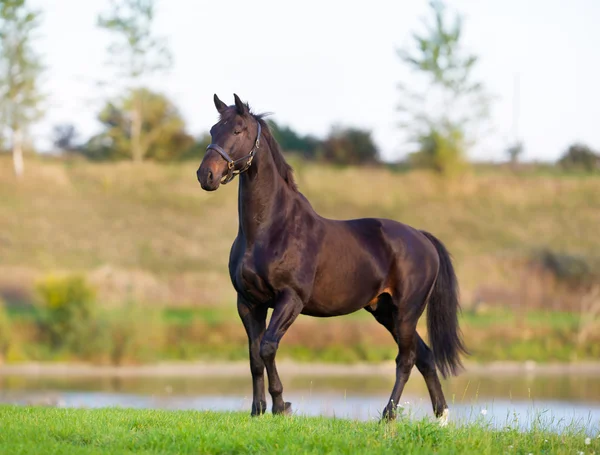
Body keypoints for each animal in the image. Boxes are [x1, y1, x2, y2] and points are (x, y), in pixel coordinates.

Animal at [197, 93, 468, 424]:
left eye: (238, 130)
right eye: (213, 130)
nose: (206, 175)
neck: (269, 229)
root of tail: (421, 238)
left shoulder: (290, 299)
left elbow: (268, 348)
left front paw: (281, 407)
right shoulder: (249, 302)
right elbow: (253, 356)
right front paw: (257, 411)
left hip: (406, 312)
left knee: (406, 359)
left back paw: (388, 415)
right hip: (385, 312)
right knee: (425, 356)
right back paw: (441, 417)